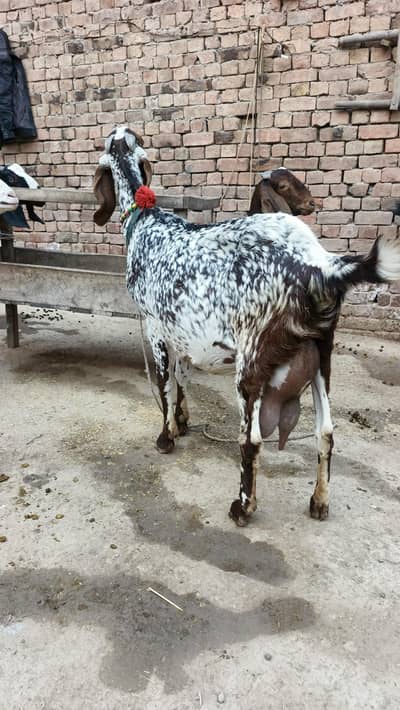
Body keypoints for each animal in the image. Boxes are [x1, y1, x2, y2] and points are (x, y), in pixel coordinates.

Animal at [93, 126, 400, 527]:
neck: (148, 224)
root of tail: (319, 266)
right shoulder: (183, 331)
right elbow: (182, 376)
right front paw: (182, 422)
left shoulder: (156, 328)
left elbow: (164, 385)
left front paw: (166, 437)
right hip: (322, 356)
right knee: (326, 431)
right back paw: (319, 501)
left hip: (251, 359)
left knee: (251, 439)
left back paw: (242, 507)